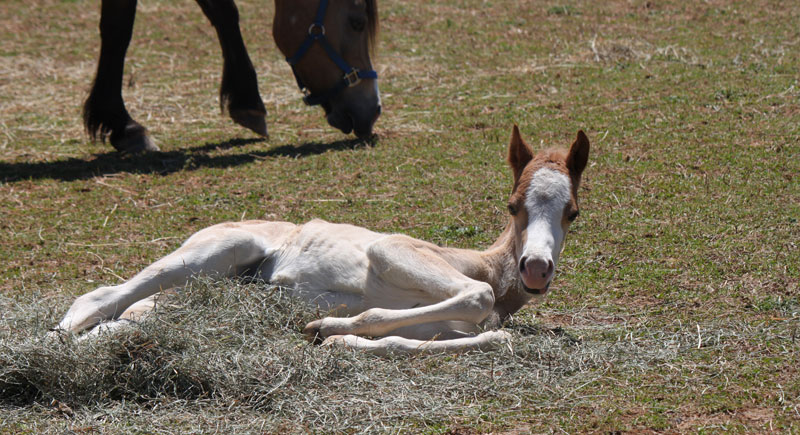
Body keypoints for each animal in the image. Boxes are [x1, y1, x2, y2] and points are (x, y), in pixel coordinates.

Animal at [51, 125, 588, 354]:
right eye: (513, 206)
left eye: (572, 213)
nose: (536, 269)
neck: (487, 266)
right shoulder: (391, 248)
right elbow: (475, 297)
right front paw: (326, 324)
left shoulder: (445, 329)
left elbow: (474, 336)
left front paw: (332, 335)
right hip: (217, 251)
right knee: (101, 295)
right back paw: (52, 346)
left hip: (195, 294)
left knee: (130, 318)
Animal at [84, 0, 382, 153]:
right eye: (358, 22)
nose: (374, 110)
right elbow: (118, 27)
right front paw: (123, 124)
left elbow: (223, 11)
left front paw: (246, 101)